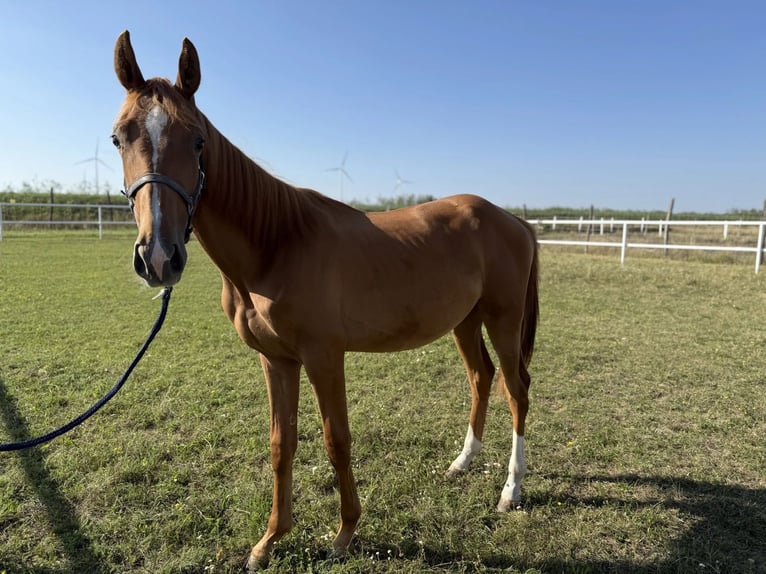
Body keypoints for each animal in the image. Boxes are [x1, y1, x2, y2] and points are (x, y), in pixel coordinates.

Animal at [112, 30, 539, 570]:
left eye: (198, 140)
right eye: (118, 138)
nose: (159, 257)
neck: (277, 242)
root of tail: (514, 221)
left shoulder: (324, 357)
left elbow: (337, 440)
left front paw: (345, 533)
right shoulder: (276, 360)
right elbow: (282, 444)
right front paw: (269, 542)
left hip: (504, 320)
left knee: (516, 390)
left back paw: (511, 490)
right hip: (465, 321)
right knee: (481, 378)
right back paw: (462, 463)